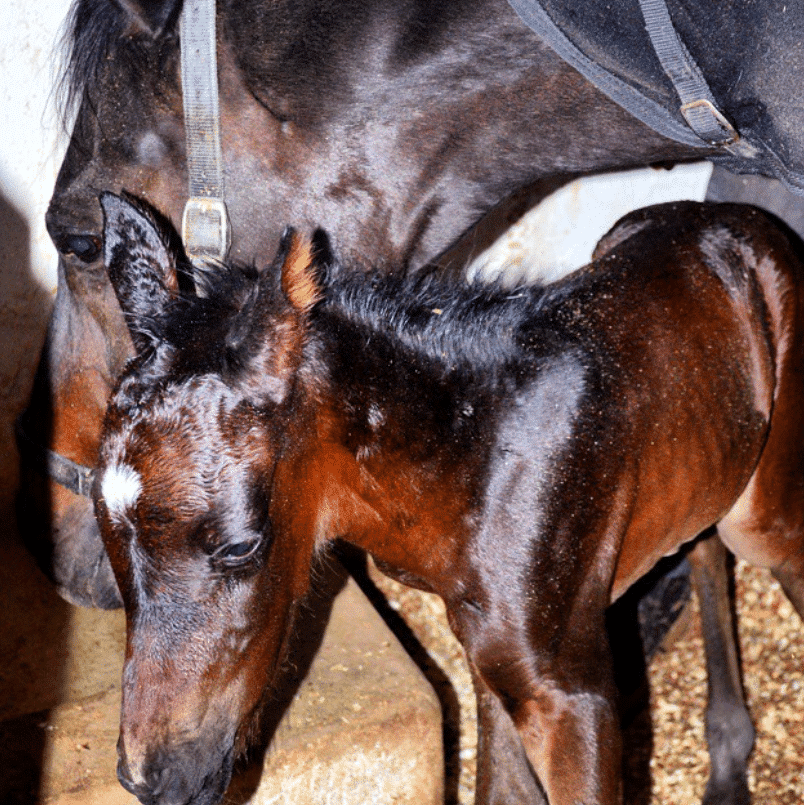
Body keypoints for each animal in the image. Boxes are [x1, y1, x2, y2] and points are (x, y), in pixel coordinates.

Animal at [92, 195, 804, 804]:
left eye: (242, 546)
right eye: (106, 539)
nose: (152, 781)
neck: (468, 460)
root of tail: (737, 216)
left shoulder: (572, 691)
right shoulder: (493, 661)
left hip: (764, 514)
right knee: (703, 539)